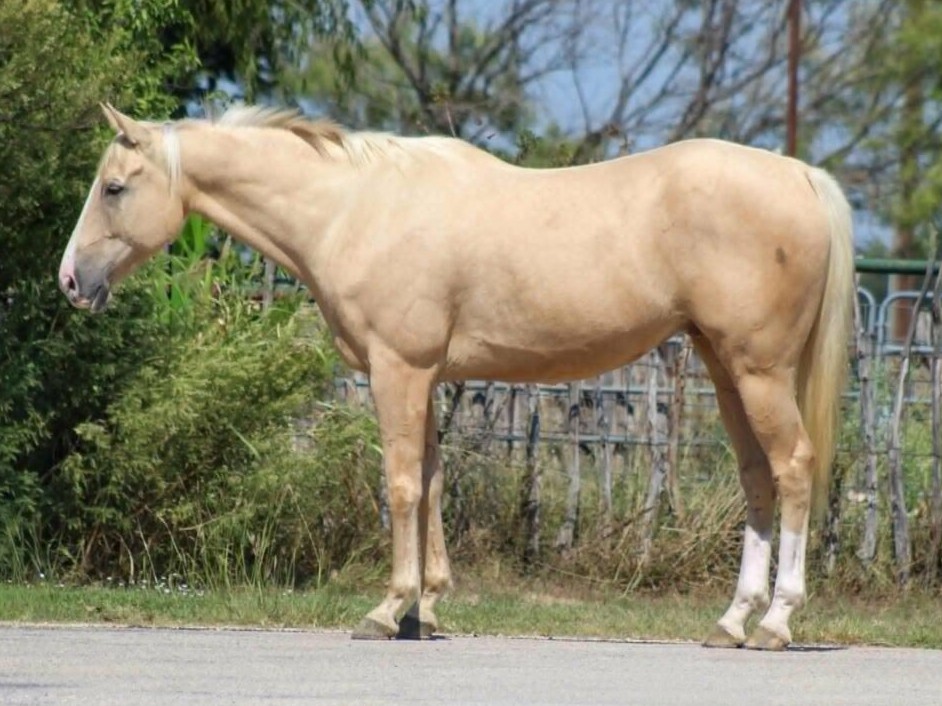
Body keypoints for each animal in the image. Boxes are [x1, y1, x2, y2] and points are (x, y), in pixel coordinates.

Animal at [59, 103, 854, 650]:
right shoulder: (428, 376)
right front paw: (429, 607)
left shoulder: (398, 370)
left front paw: (388, 609)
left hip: (758, 372)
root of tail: (800, 176)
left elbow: (402, 487)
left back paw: (778, 620)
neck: (354, 208)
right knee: (756, 479)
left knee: (792, 469)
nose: (70, 281)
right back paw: (732, 620)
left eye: (114, 187)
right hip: (725, 371)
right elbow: (435, 484)